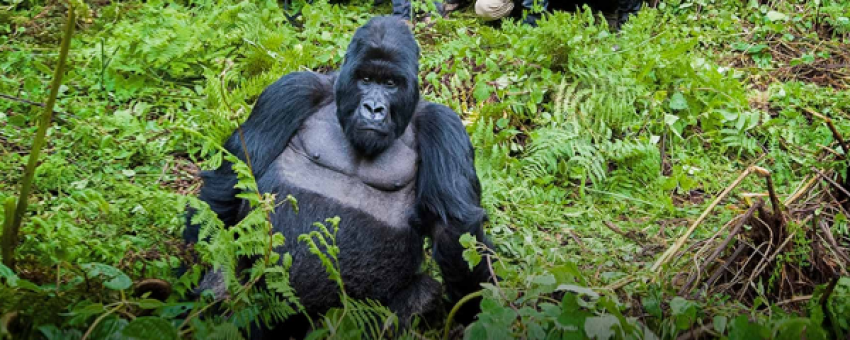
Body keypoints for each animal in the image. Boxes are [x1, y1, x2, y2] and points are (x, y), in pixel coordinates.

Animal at [183, 15, 494, 334]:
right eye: (366, 79)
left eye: (390, 84)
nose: (373, 108)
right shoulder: (292, 90)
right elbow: (237, 173)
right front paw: (199, 264)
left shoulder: (444, 126)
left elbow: (454, 230)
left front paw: (475, 313)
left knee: (420, 295)